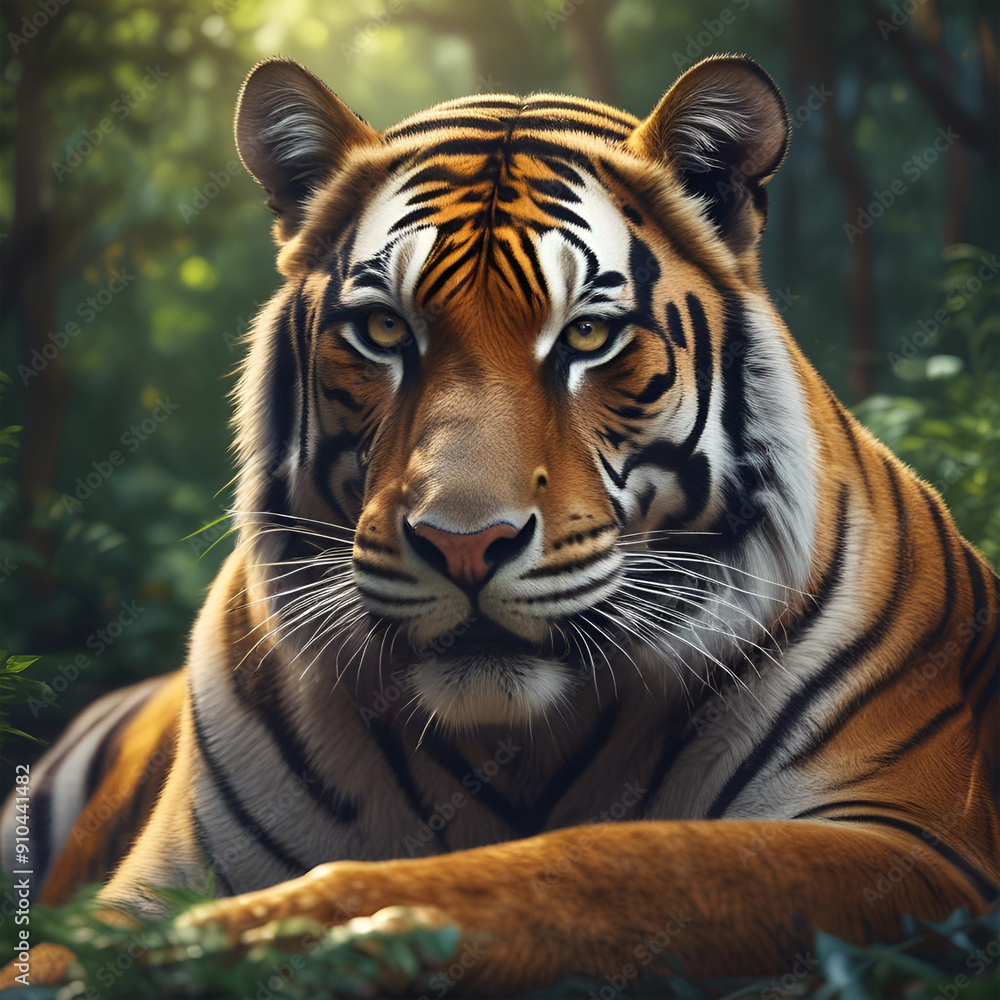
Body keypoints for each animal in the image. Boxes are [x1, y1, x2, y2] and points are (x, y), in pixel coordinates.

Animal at [2, 54, 997, 996]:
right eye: (382, 331)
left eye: (589, 337)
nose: (464, 545)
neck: (515, 746)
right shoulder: (159, 874)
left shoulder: (910, 842)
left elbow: (619, 861)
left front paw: (282, 938)